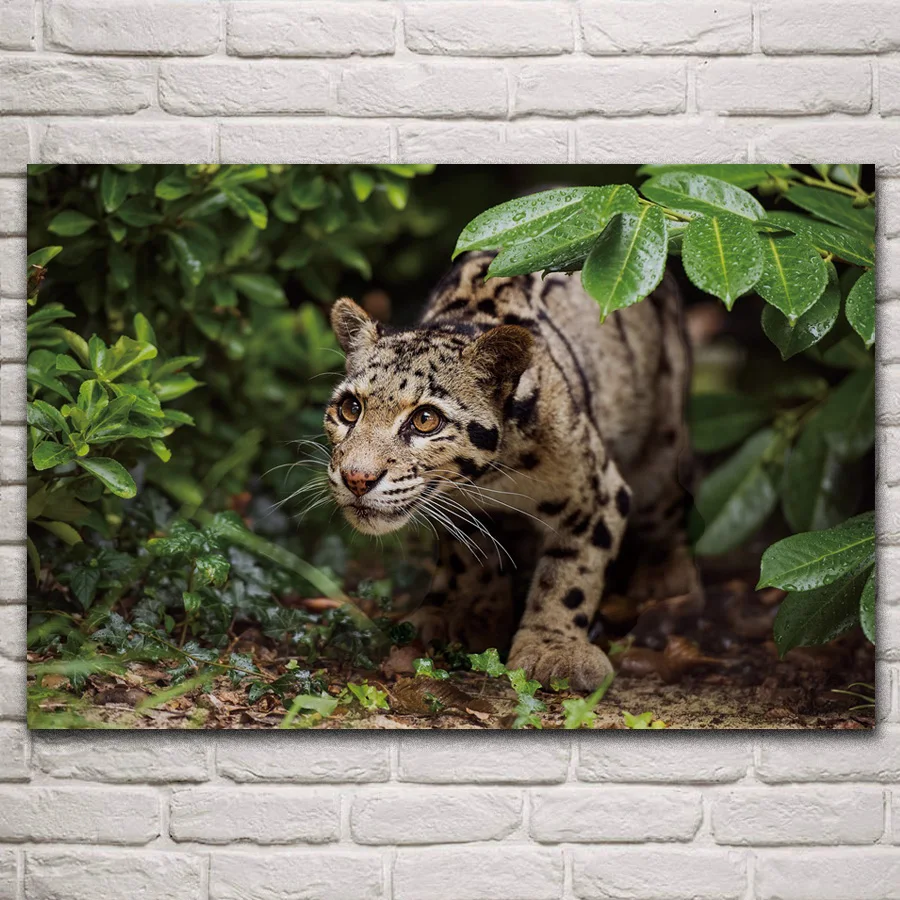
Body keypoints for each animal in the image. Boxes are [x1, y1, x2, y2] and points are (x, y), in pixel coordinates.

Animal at [323, 250, 702, 691]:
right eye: (350, 409)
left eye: (425, 420)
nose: (357, 478)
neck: (495, 475)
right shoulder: (459, 508)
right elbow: (471, 557)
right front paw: (470, 613)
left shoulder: (597, 492)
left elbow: (571, 572)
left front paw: (555, 648)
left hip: (660, 443)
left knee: (667, 499)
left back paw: (666, 576)